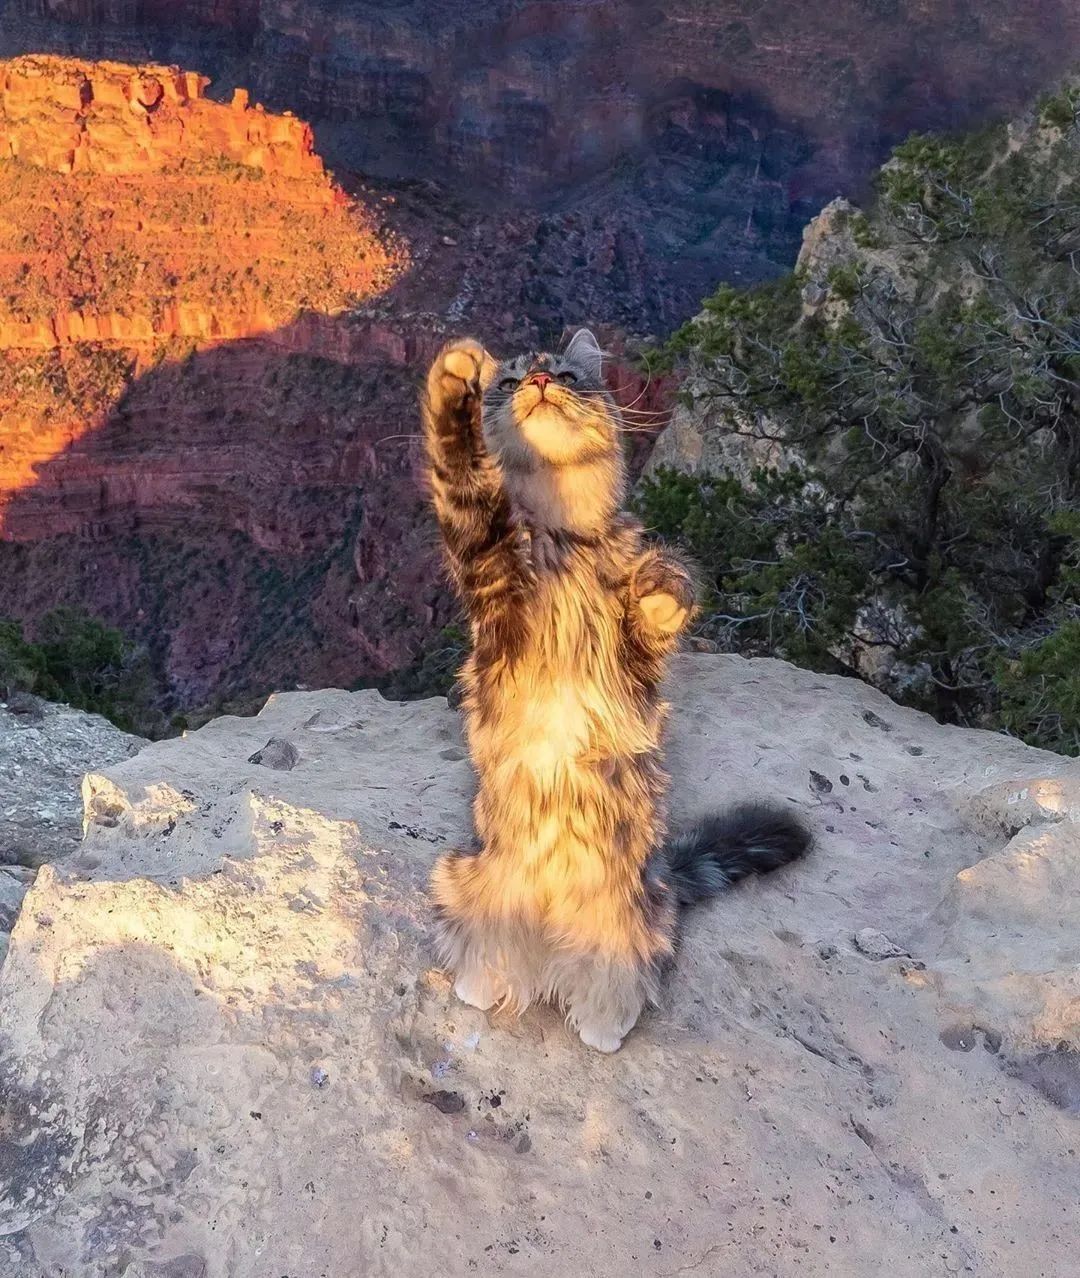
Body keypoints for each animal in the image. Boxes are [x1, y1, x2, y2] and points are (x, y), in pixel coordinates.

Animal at [421, 332, 807, 1058]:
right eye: (509, 381)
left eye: (569, 375)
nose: (540, 380)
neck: (562, 535)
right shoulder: (487, 569)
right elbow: (465, 481)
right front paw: (452, 385)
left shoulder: (637, 659)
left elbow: (664, 583)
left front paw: (661, 594)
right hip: (463, 880)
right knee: (488, 954)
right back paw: (482, 985)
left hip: (627, 927)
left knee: (617, 980)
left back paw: (603, 1025)